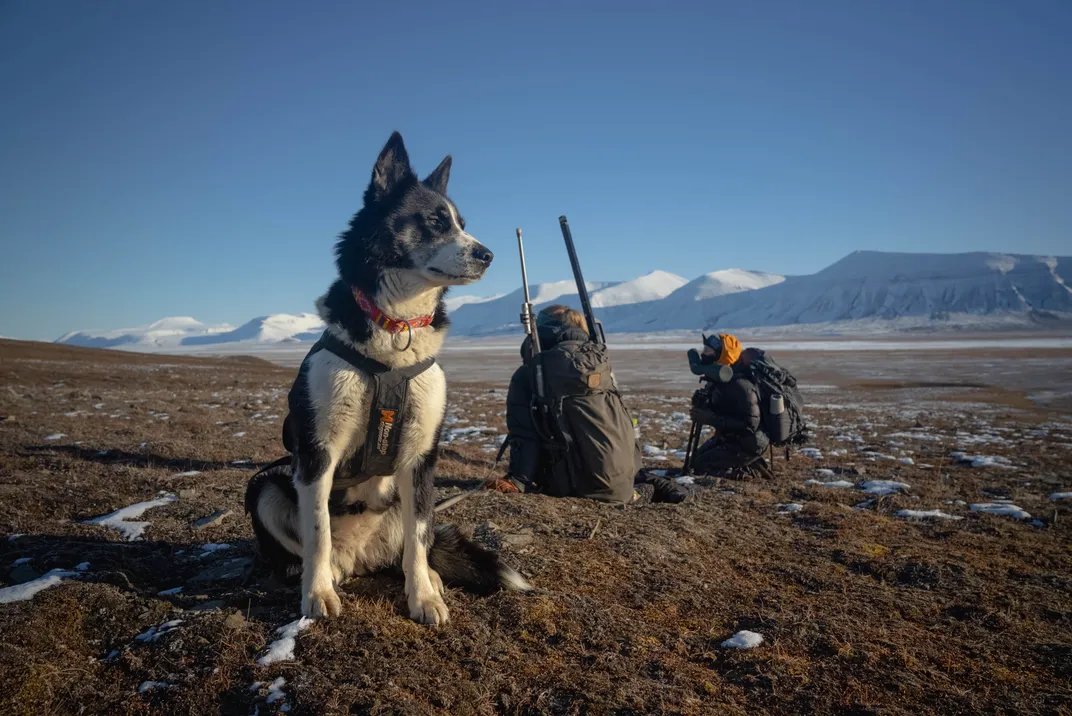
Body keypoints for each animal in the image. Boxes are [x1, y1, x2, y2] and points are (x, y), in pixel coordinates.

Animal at [243, 131, 527, 621]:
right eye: (435, 221)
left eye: (461, 223)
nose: (488, 255)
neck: (395, 329)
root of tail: (360, 557)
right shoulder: (317, 452)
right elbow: (317, 532)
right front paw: (316, 593)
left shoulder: (421, 457)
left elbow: (417, 540)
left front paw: (424, 598)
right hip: (264, 486)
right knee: (310, 546)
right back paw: (318, 575)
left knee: (417, 546)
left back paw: (429, 576)